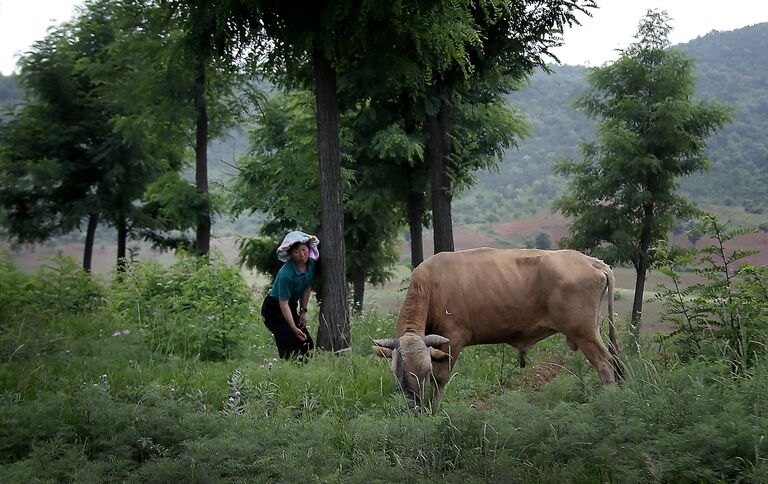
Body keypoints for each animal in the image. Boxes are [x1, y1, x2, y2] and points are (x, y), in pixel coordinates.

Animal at [372, 248, 624, 410]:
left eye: (423, 371)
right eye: (400, 372)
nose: (414, 402)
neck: (431, 285)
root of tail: (591, 261)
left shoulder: (452, 339)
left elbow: (440, 378)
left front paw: (434, 411)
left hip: (584, 332)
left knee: (604, 363)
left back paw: (609, 402)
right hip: (591, 330)